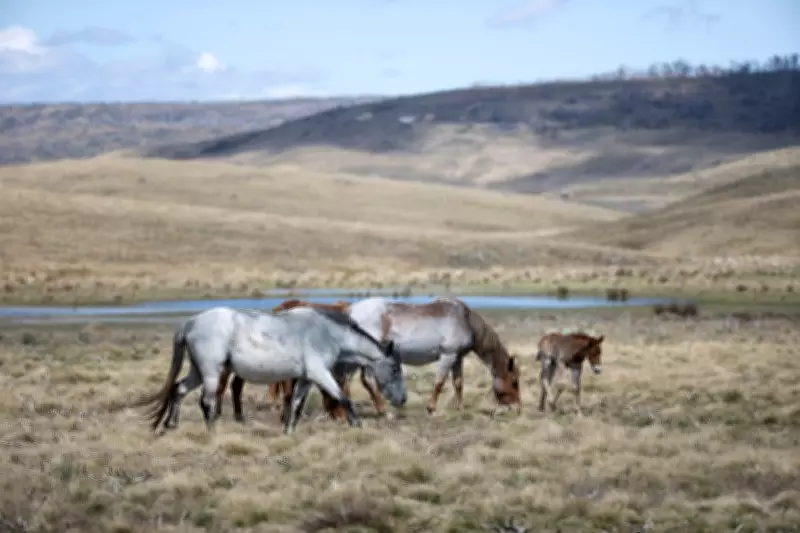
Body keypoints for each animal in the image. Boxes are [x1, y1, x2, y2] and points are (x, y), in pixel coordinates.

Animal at [132, 305, 407, 435]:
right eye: (395, 369)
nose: (402, 399)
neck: (328, 333)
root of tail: (190, 323)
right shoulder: (320, 374)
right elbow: (343, 398)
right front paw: (357, 425)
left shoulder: (306, 378)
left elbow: (296, 404)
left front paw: (289, 430)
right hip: (211, 372)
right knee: (207, 402)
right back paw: (212, 432)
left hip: (198, 371)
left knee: (178, 389)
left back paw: (170, 425)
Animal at [228, 296, 521, 419]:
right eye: (515, 382)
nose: (516, 408)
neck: (464, 318)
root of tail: (350, 310)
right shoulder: (447, 356)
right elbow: (440, 383)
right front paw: (432, 408)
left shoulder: (457, 358)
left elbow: (458, 383)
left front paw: (459, 408)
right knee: (361, 382)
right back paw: (378, 410)